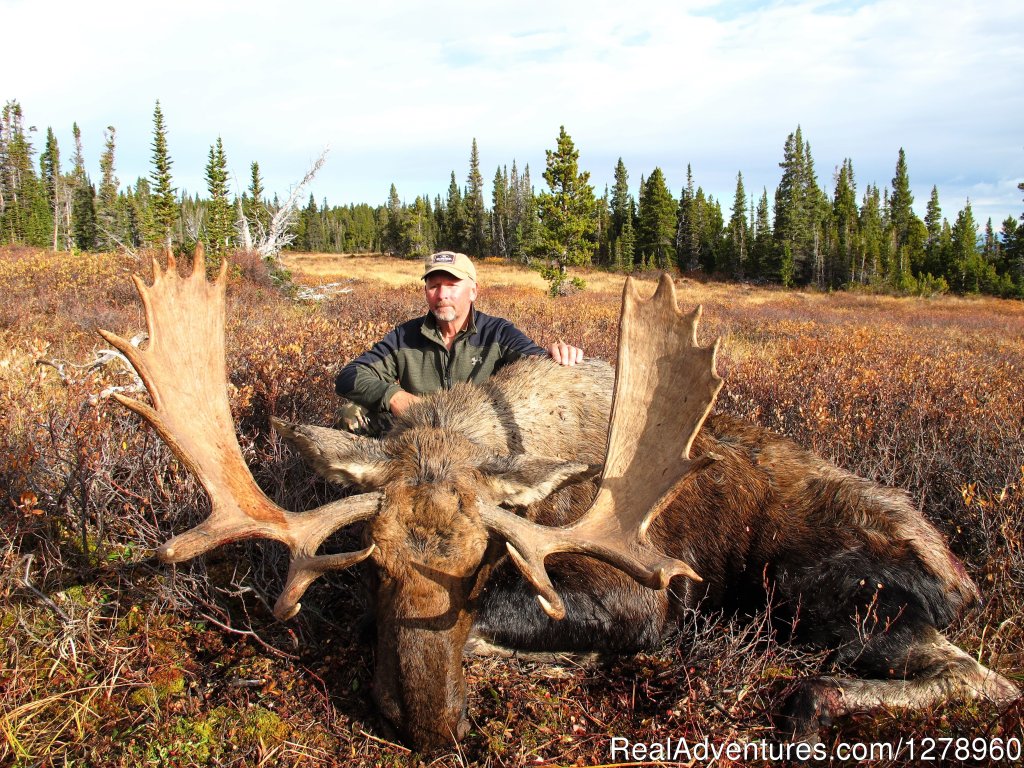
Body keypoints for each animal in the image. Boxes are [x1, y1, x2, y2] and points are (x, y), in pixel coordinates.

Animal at [99, 247, 1019, 753]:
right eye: (374, 569)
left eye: (485, 569)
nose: (427, 728)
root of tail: (968, 583)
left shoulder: (645, 598)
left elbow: (507, 635)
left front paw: (558, 661)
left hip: (817, 593)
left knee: (981, 677)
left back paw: (809, 704)